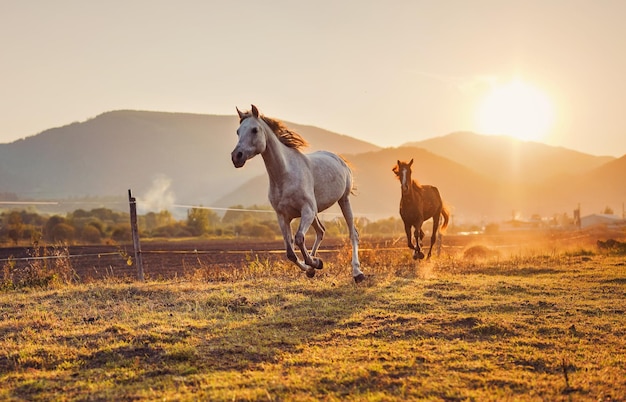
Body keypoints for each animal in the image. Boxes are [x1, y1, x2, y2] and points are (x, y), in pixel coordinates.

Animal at [232, 105, 364, 284]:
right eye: (238, 131)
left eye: (254, 130)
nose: (236, 157)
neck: (285, 174)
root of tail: (339, 159)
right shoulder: (283, 216)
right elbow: (290, 252)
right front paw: (312, 267)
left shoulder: (306, 210)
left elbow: (299, 238)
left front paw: (315, 262)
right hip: (316, 212)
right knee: (321, 231)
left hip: (343, 200)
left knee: (353, 234)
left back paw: (357, 273)